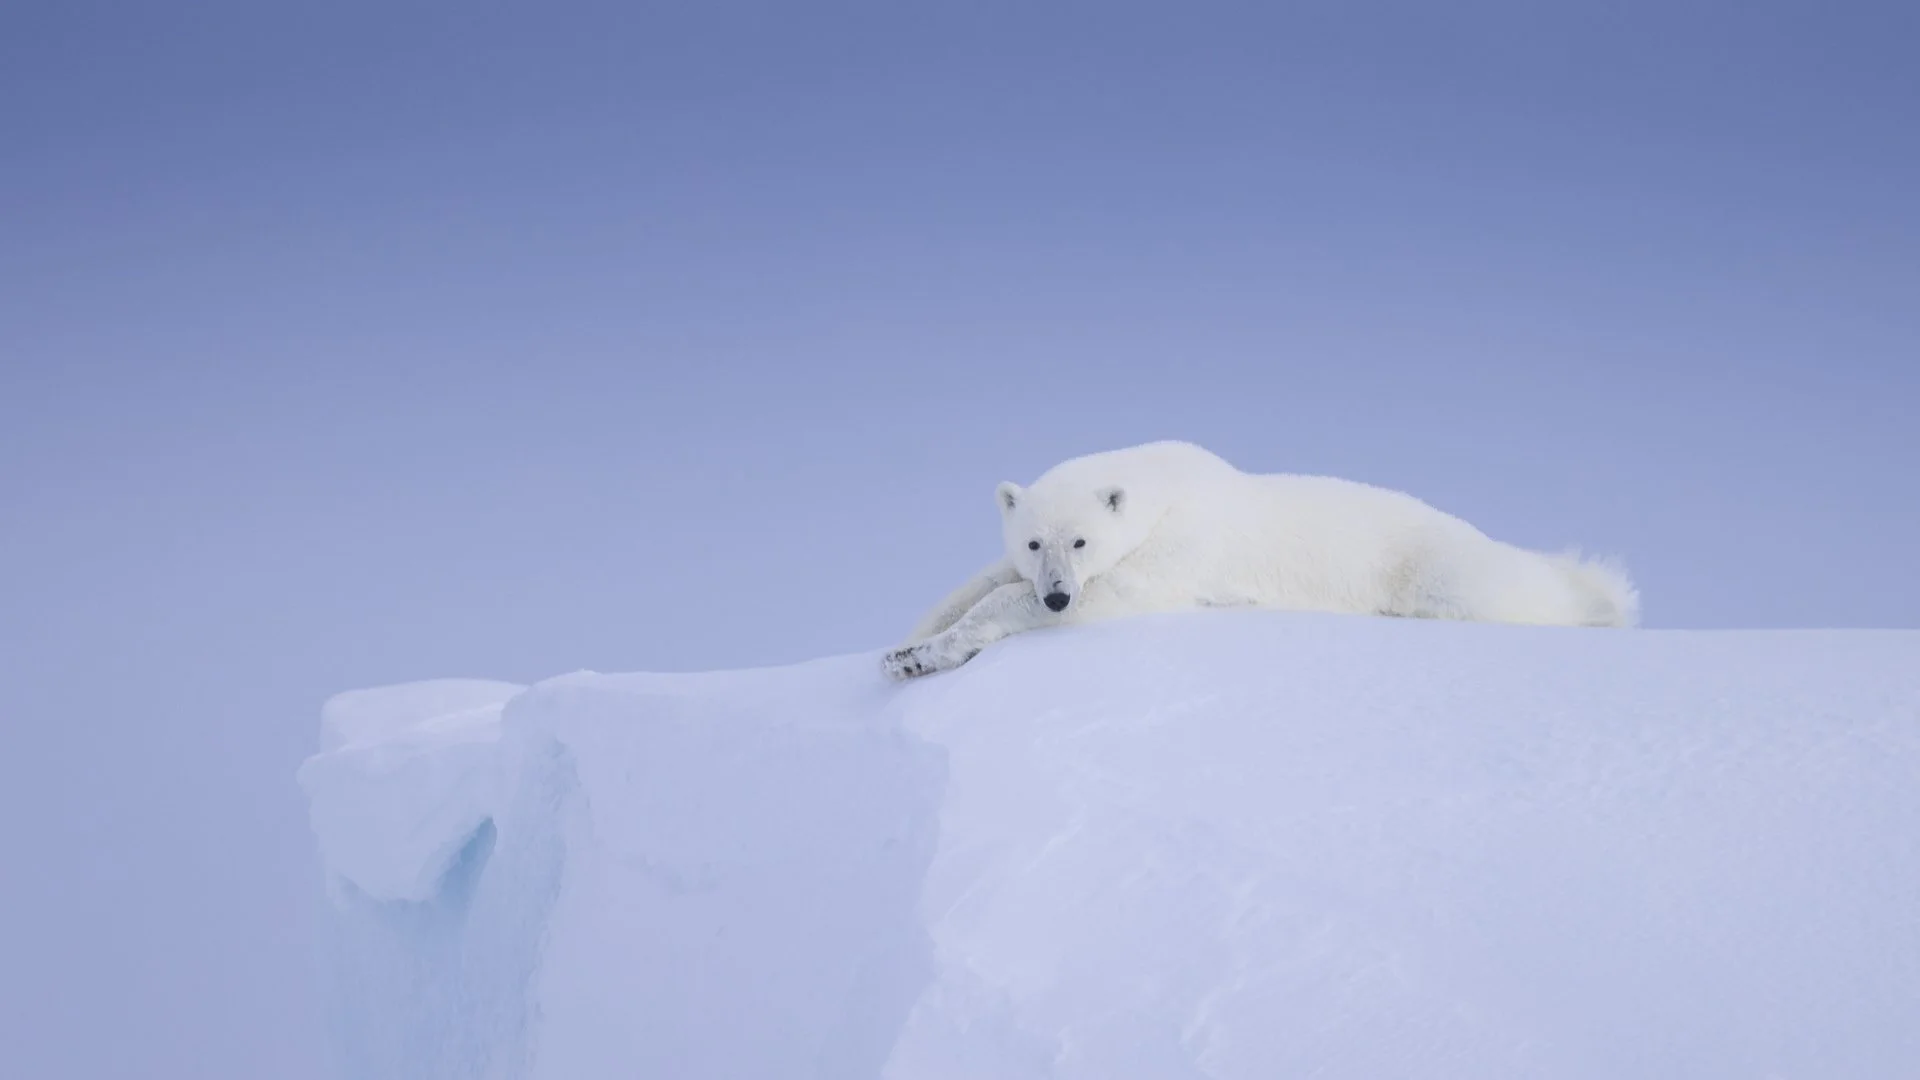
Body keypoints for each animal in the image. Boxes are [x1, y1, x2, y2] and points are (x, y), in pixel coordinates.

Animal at [882, 439, 1637, 680]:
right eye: (1036, 541)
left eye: (1082, 540)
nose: (1058, 595)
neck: (1164, 482)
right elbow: (984, 579)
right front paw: (905, 648)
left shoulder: (1183, 547)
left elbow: (1118, 591)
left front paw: (931, 652)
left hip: (1437, 567)